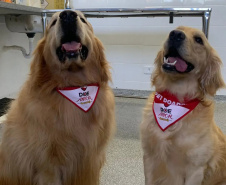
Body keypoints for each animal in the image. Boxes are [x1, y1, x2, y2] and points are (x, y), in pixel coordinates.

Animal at [0, 10, 115, 185]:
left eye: (83, 20)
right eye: (53, 22)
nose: (68, 15)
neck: (73, 86)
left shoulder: (91, 162)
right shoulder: (48, 166)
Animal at [141, 26, 226, 185]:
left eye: (199, 39)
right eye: (176, 29)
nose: (175, 35)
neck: (175, 100)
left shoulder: (196, 169)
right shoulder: (149, 158)